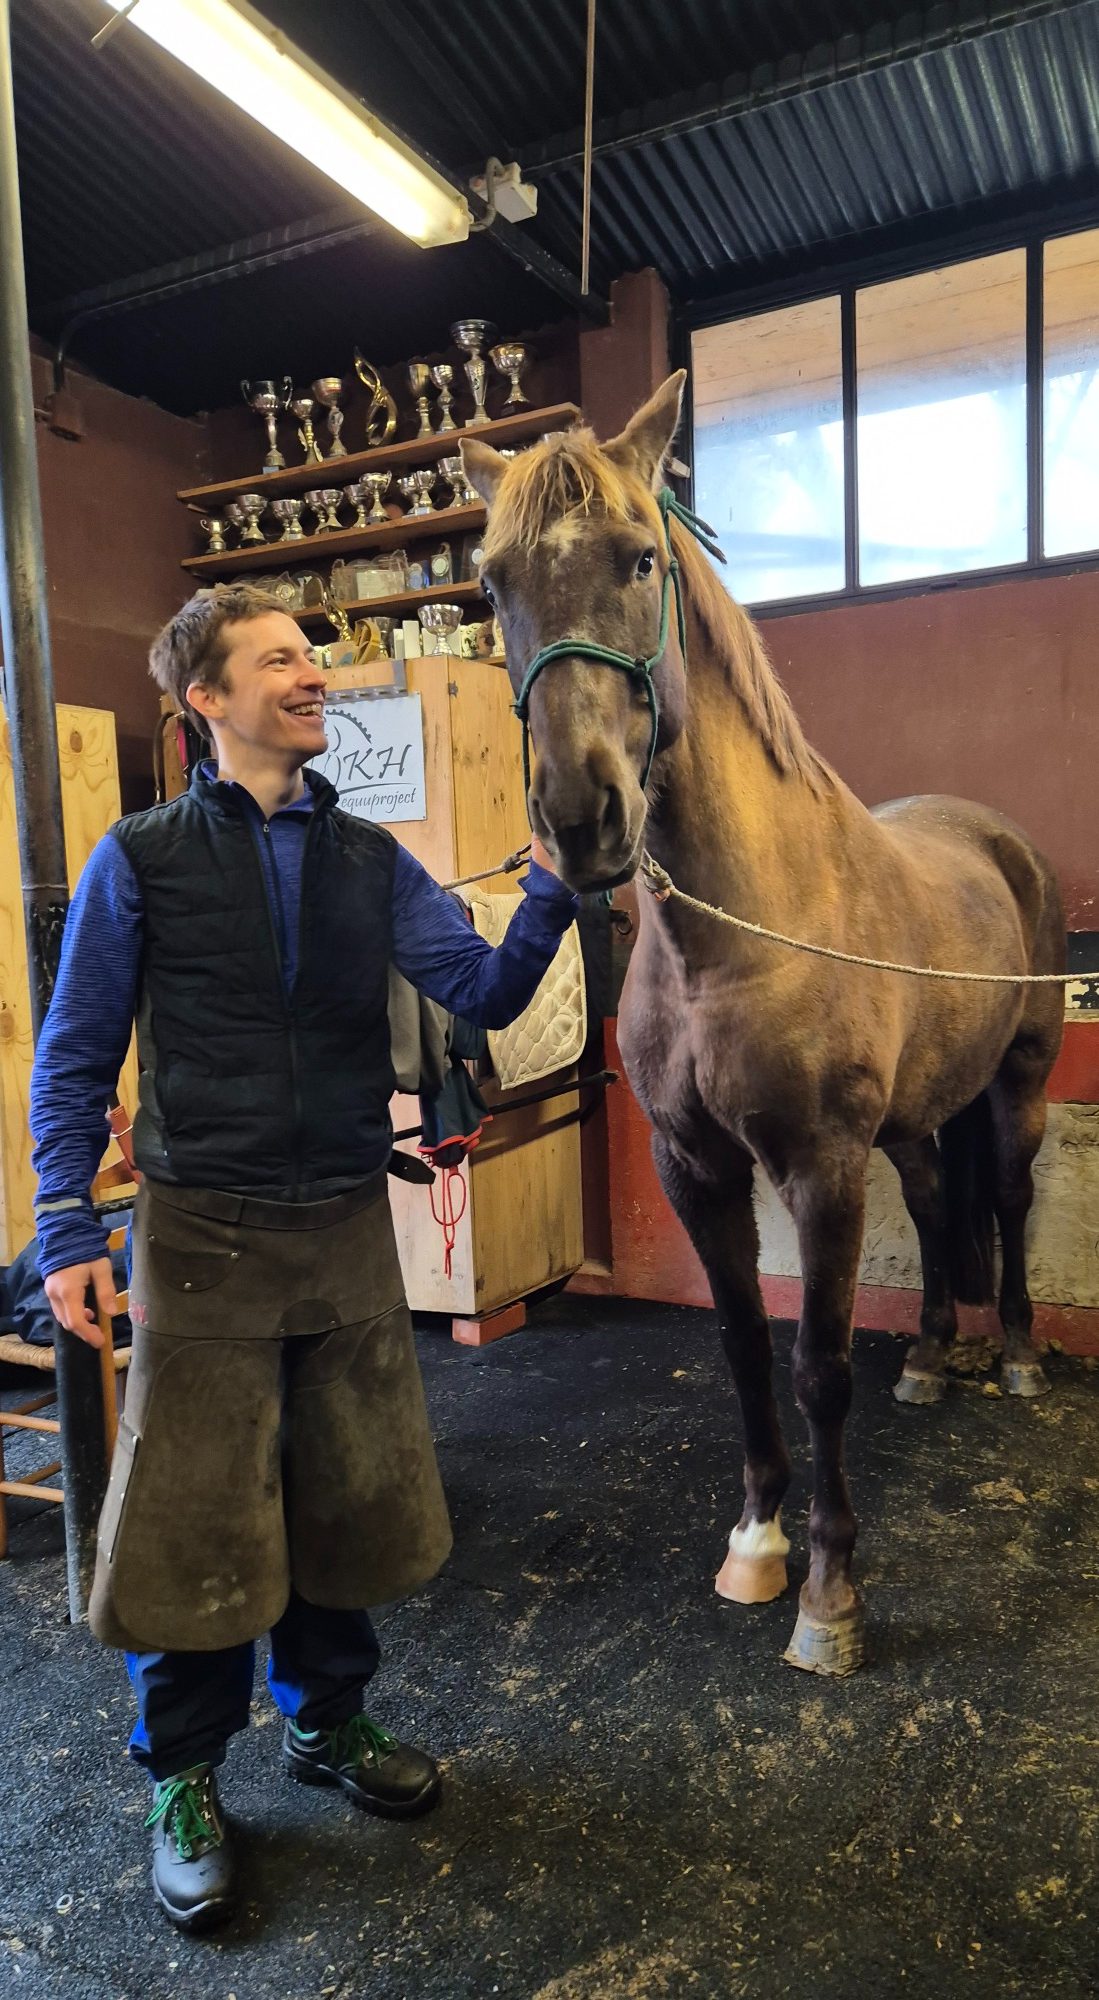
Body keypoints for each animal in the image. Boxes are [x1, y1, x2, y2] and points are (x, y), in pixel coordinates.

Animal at [460, 372, 1065, 1676]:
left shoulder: (820, 1168)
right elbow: (742, 1344)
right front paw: (755, 1543)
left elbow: (818, 1364)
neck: (727, 939)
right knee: (936, 1204)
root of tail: (1003, 842)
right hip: (913, 1119)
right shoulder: (695, 1166)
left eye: (641, 557)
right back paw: (931, 1356)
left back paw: (1017, 1354)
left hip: (1022, 1084)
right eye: (489, 580)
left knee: (1002, 1199)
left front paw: (830, 1596)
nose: (581, 818)